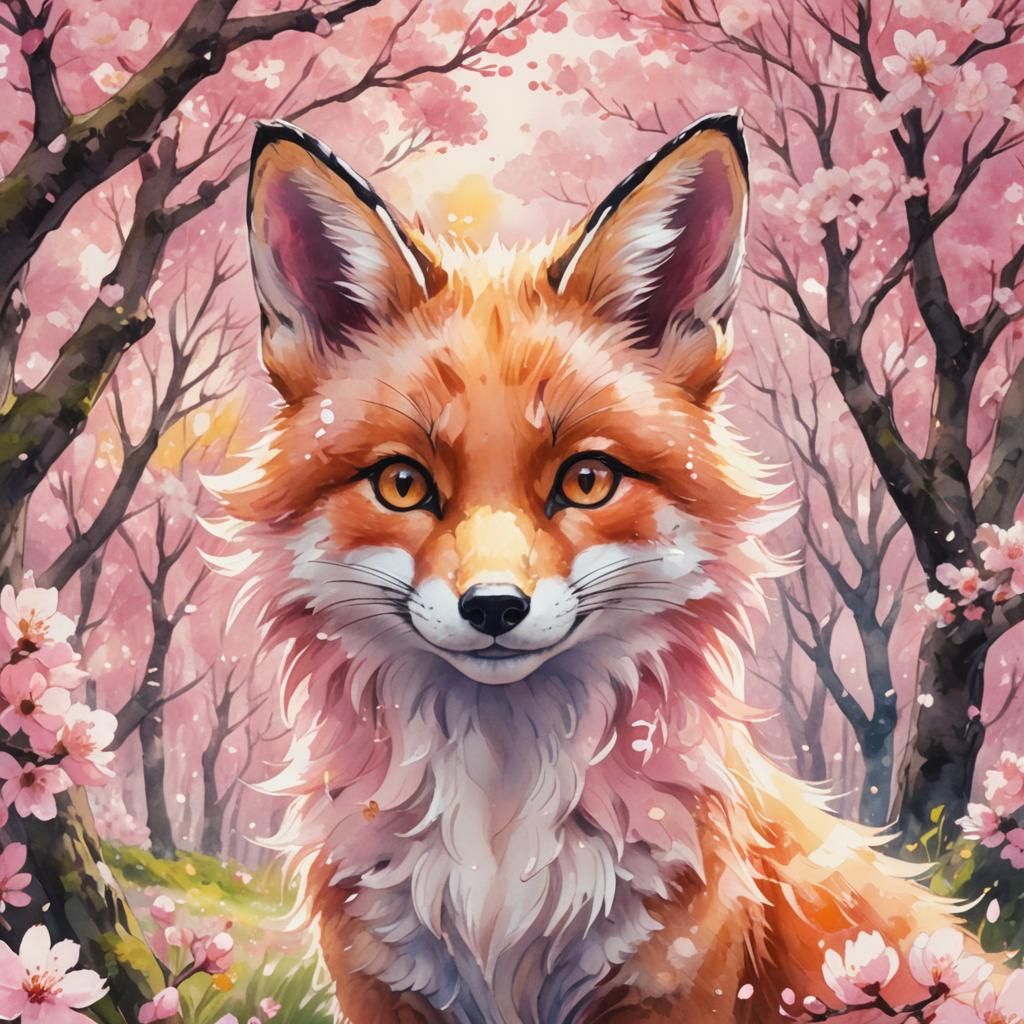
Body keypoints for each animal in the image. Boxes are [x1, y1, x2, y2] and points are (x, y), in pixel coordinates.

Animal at [209, 113, 1009, 1023]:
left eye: (586, 479)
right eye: (402, 484)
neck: (500, 838)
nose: (494, 608)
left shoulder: (678, 980)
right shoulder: (382, 987)